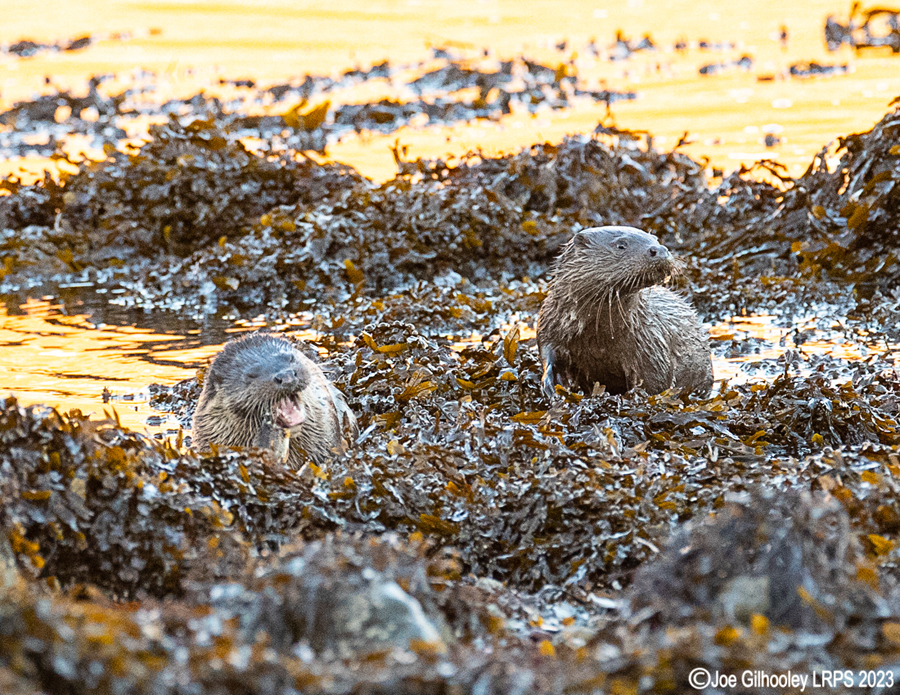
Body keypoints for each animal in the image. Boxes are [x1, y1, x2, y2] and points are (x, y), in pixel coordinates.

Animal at [536, 226, 712, 399]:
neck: (599, 334)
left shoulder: (651, 347)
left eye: (656, 239)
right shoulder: (549, 323)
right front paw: (553, 384)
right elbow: (547, 354)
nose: (660, 250)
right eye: (621, 245)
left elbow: (656, 383)